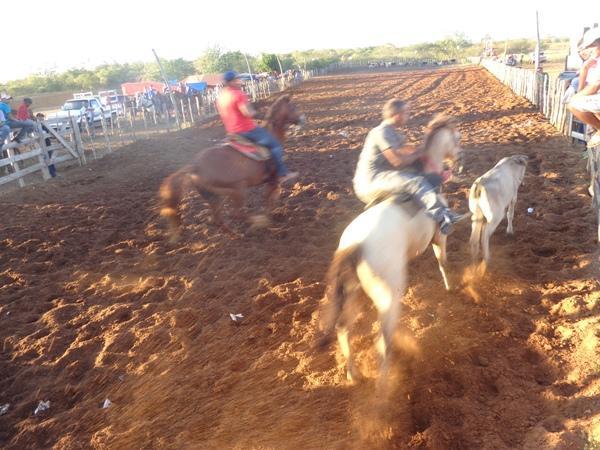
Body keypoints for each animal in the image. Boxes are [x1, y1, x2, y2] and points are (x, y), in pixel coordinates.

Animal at [159, 95, 304, 241]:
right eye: (293, 107)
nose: (302, 119)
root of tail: (195, 167)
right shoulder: (273, 179)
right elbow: (268, 199)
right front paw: (268, 218)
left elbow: (270, 198)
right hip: (237, 190)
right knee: (236, 214)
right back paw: (257, 222)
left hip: (213, 197)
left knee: (218, 219)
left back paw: (235, 234)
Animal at [318, 116, 464, 384]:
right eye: (456, 138)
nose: (459, 159)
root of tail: (354, 245)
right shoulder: (439, 237)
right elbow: (443, 262)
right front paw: (451, 287)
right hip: (386, 296)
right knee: (382, 341)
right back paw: (385, 383)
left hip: (354, 293)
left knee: (343, 328)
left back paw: (353, 374)